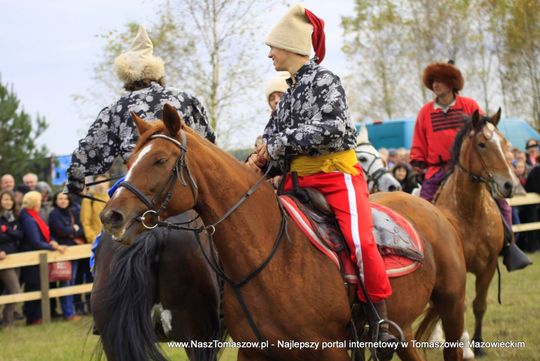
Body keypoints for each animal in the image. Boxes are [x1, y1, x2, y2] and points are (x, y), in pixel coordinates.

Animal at [101, 102, 468, 358]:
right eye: (130, 160)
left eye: (160, 160)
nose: (112, 216)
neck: (272, 256)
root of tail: (431, 209)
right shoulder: (255, 353)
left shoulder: (329, 351)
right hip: (405, 331)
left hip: (451, 307)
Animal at [434, 110, 524, 358]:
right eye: (482, 144)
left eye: (505, 143)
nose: (509, 185)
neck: (470, 212)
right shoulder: (458, 269)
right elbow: (461, 305)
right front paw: (464, 348)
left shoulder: (489, 266)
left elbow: (479, 305)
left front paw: (478, 343)